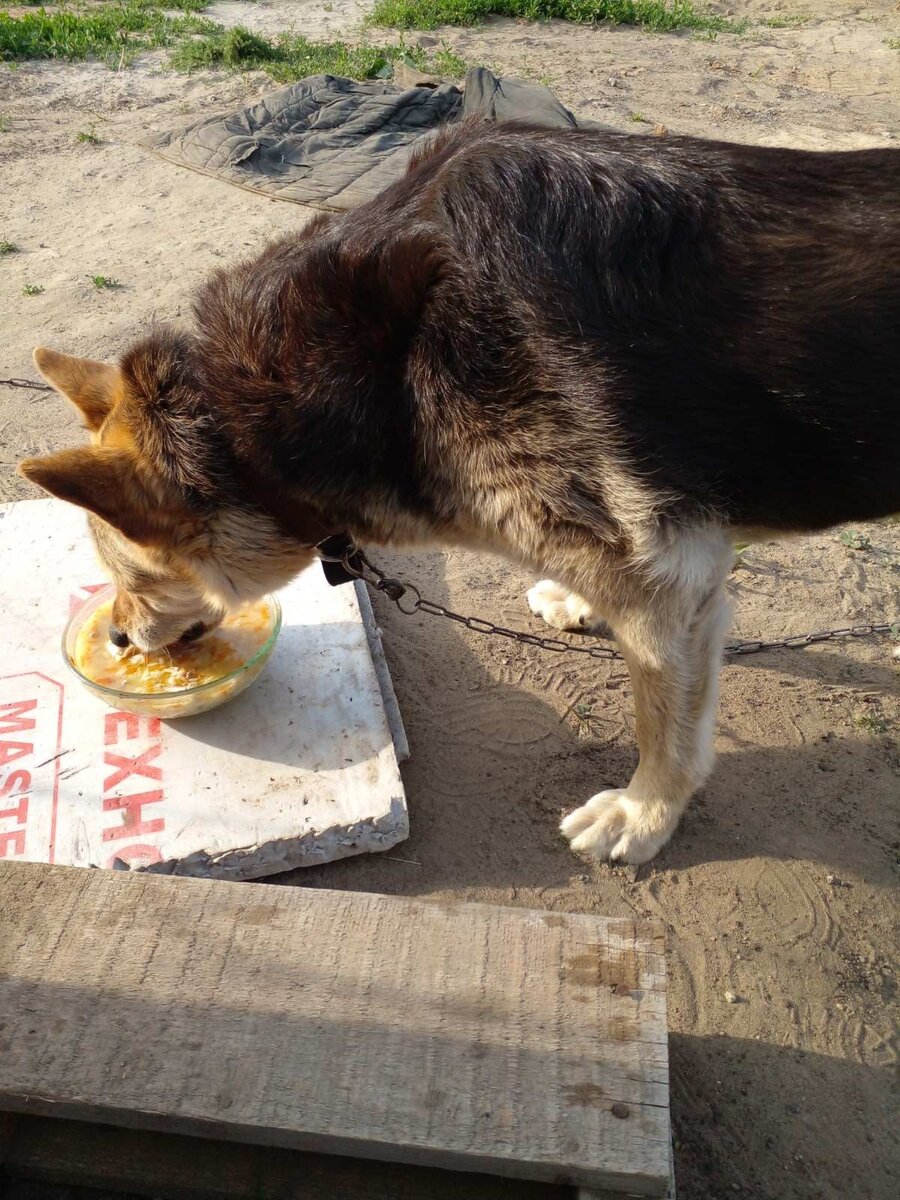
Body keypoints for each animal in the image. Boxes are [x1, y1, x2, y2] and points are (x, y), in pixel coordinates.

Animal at [17, 121, 897, 864]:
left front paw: (645, 812)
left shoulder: (668, 595)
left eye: (138, 577)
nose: (119, 637)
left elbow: (663, 723)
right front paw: (580, 604)